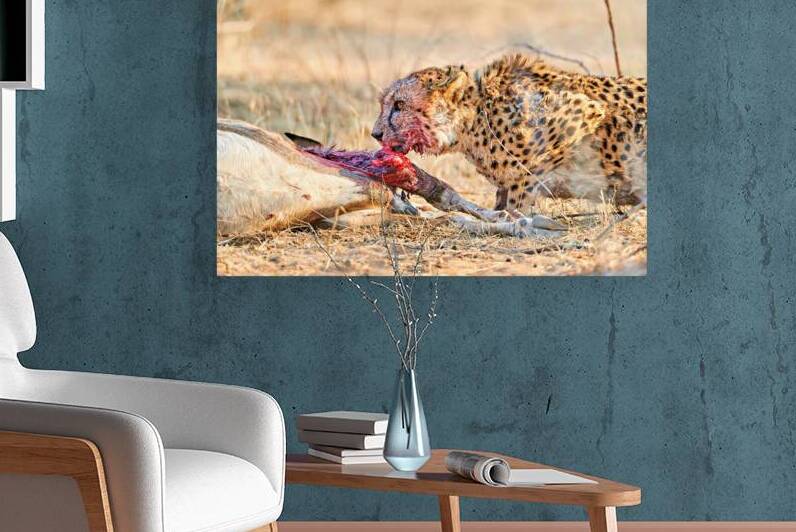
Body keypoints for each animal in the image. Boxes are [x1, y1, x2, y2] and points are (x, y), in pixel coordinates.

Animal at [371, 54, 647, 214]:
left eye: (399, 105)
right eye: (384, 104)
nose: (375, 133)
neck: (475, 120)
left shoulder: (585, 112)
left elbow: (522, 187)